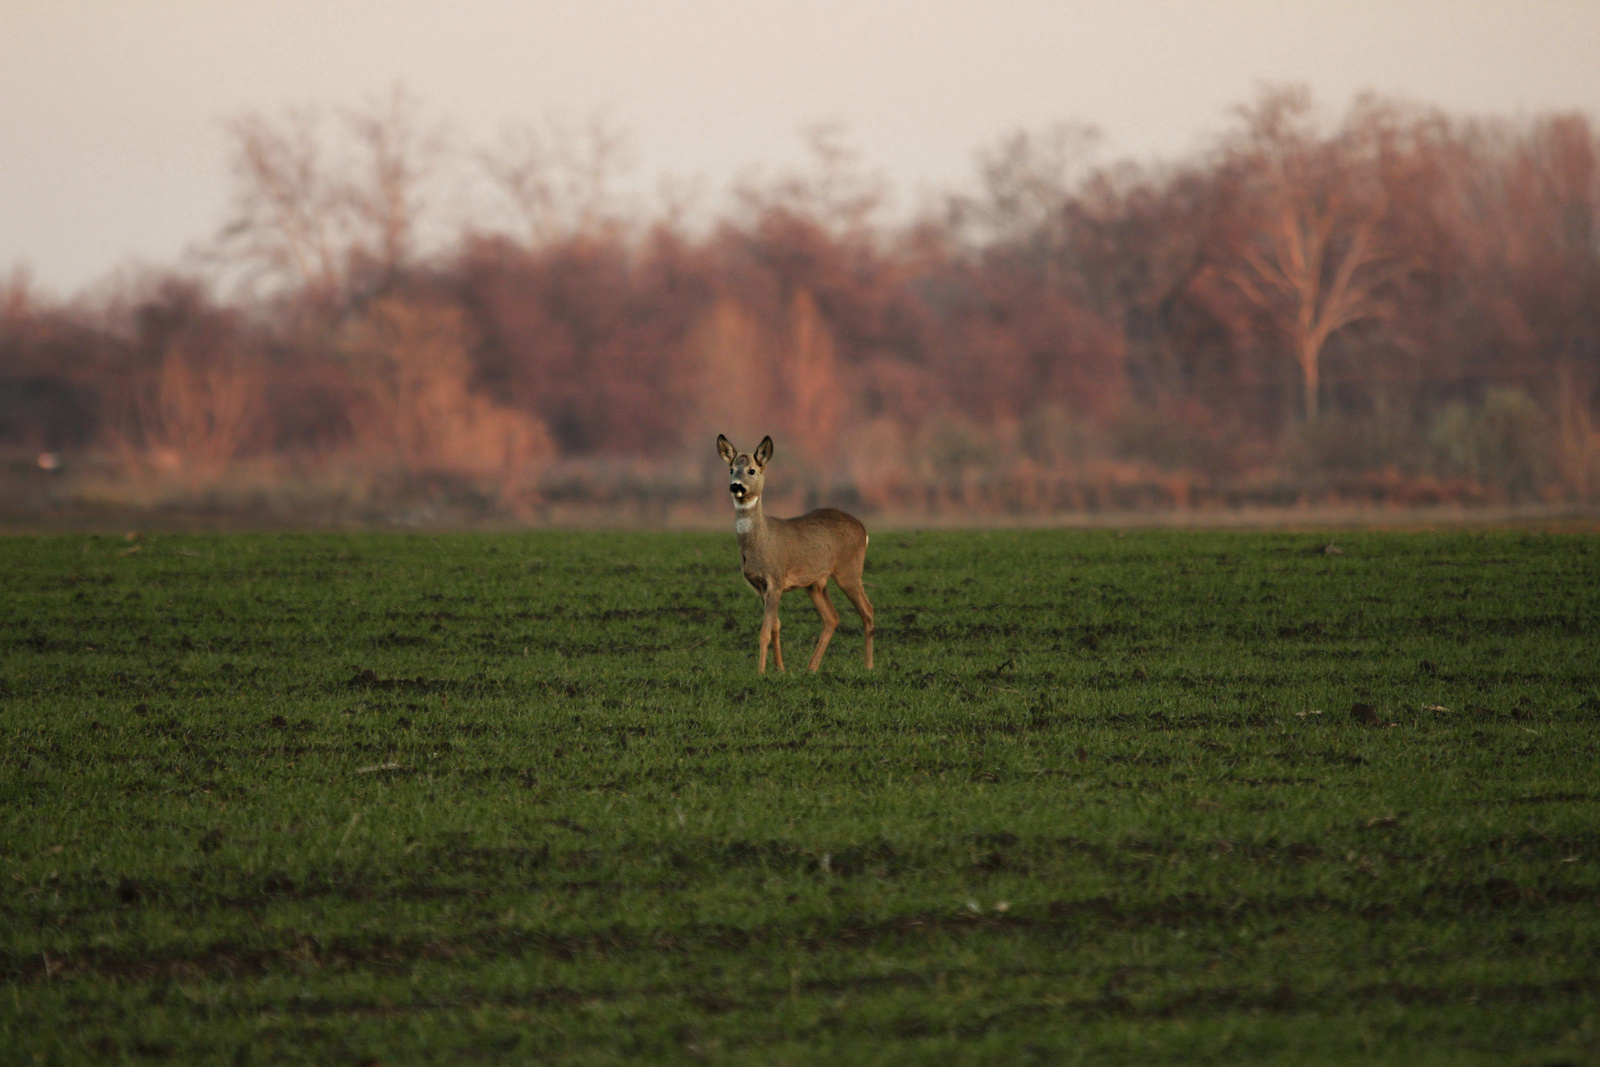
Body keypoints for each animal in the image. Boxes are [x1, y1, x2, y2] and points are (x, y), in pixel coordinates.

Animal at [723, 431, 883, 668]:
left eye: (752, 470)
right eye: (731, 469)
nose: (736, 486)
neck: (759, 543)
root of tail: (864, 530)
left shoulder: (775, 579)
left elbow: (764, 631)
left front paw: (760, 672)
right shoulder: (760, 587)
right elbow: (776, 626)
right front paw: (780, 669)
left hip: (849, 571)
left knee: (867, 610)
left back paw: (868, 666)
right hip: (815, 583)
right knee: (832, 617)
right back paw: (811, 668)